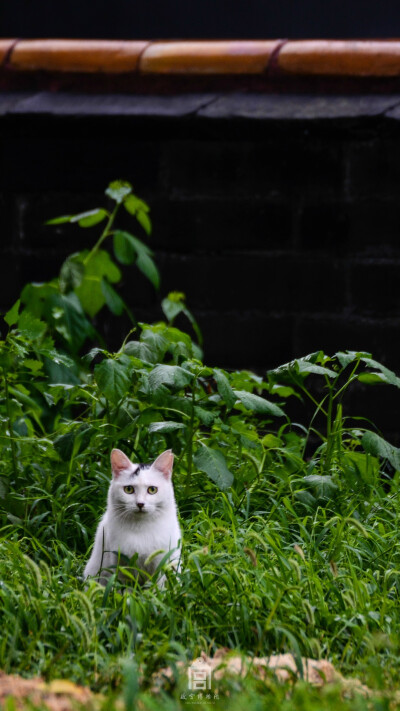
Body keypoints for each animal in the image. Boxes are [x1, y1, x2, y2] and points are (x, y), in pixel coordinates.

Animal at [84, 448, 181, 588]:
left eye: (152, 490)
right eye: (128, 489)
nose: (140, 504)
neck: (140, 528)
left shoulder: (160, 563)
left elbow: (158, 586)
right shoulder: (120, 564)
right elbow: (125, 589)